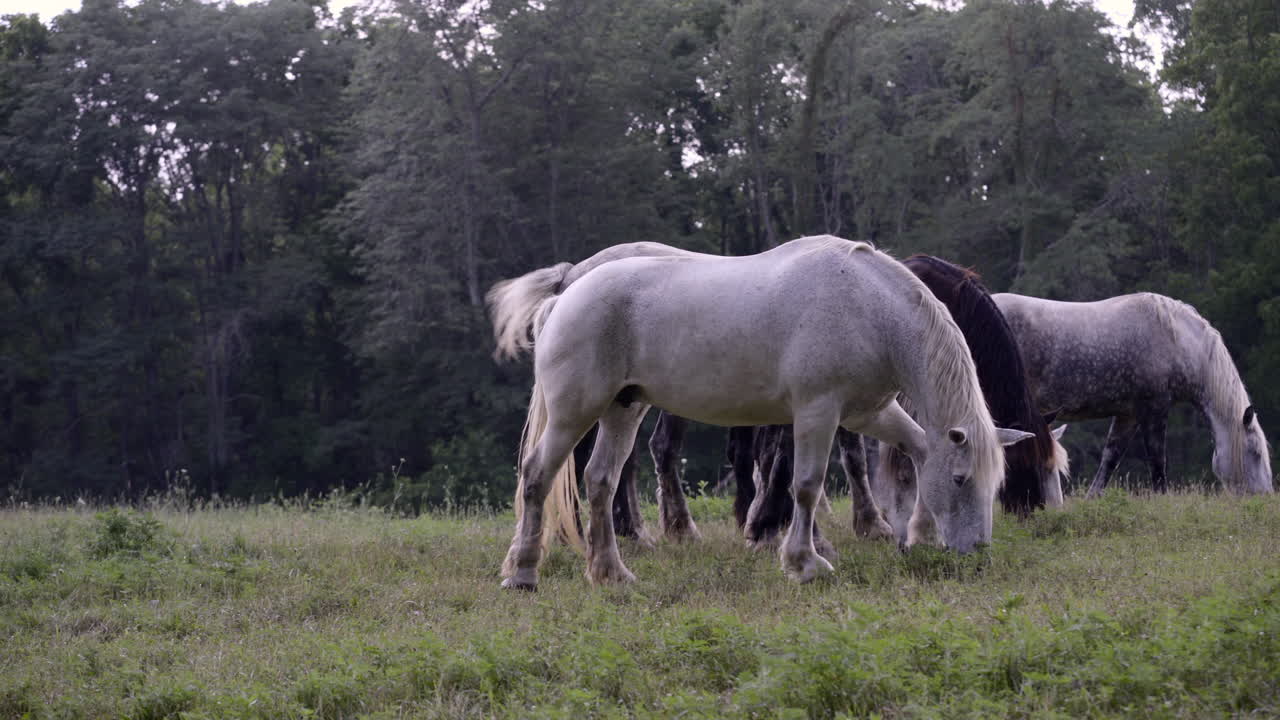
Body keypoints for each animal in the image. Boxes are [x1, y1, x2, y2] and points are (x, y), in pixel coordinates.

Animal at [490, 235, 1032, 588]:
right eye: (961, 480)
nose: (976, 556)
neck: (868, 308)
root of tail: (566, 292)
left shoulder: (868, 414)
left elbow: (919, 452)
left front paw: (915, 535)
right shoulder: (817, 412)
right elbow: (806, 486)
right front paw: (805, 563)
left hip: (624, 410)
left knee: (601, 480)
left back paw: (612, 572)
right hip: (574, 412)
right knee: (538, 475)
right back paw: (523, 573)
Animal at [993, 292, 1273, 496]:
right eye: (1256, 453)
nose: (1265, 497)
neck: (1176, 340)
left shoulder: (1129, 415)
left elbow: (1110, 459)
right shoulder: (1154, 409)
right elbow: (1158, 462)